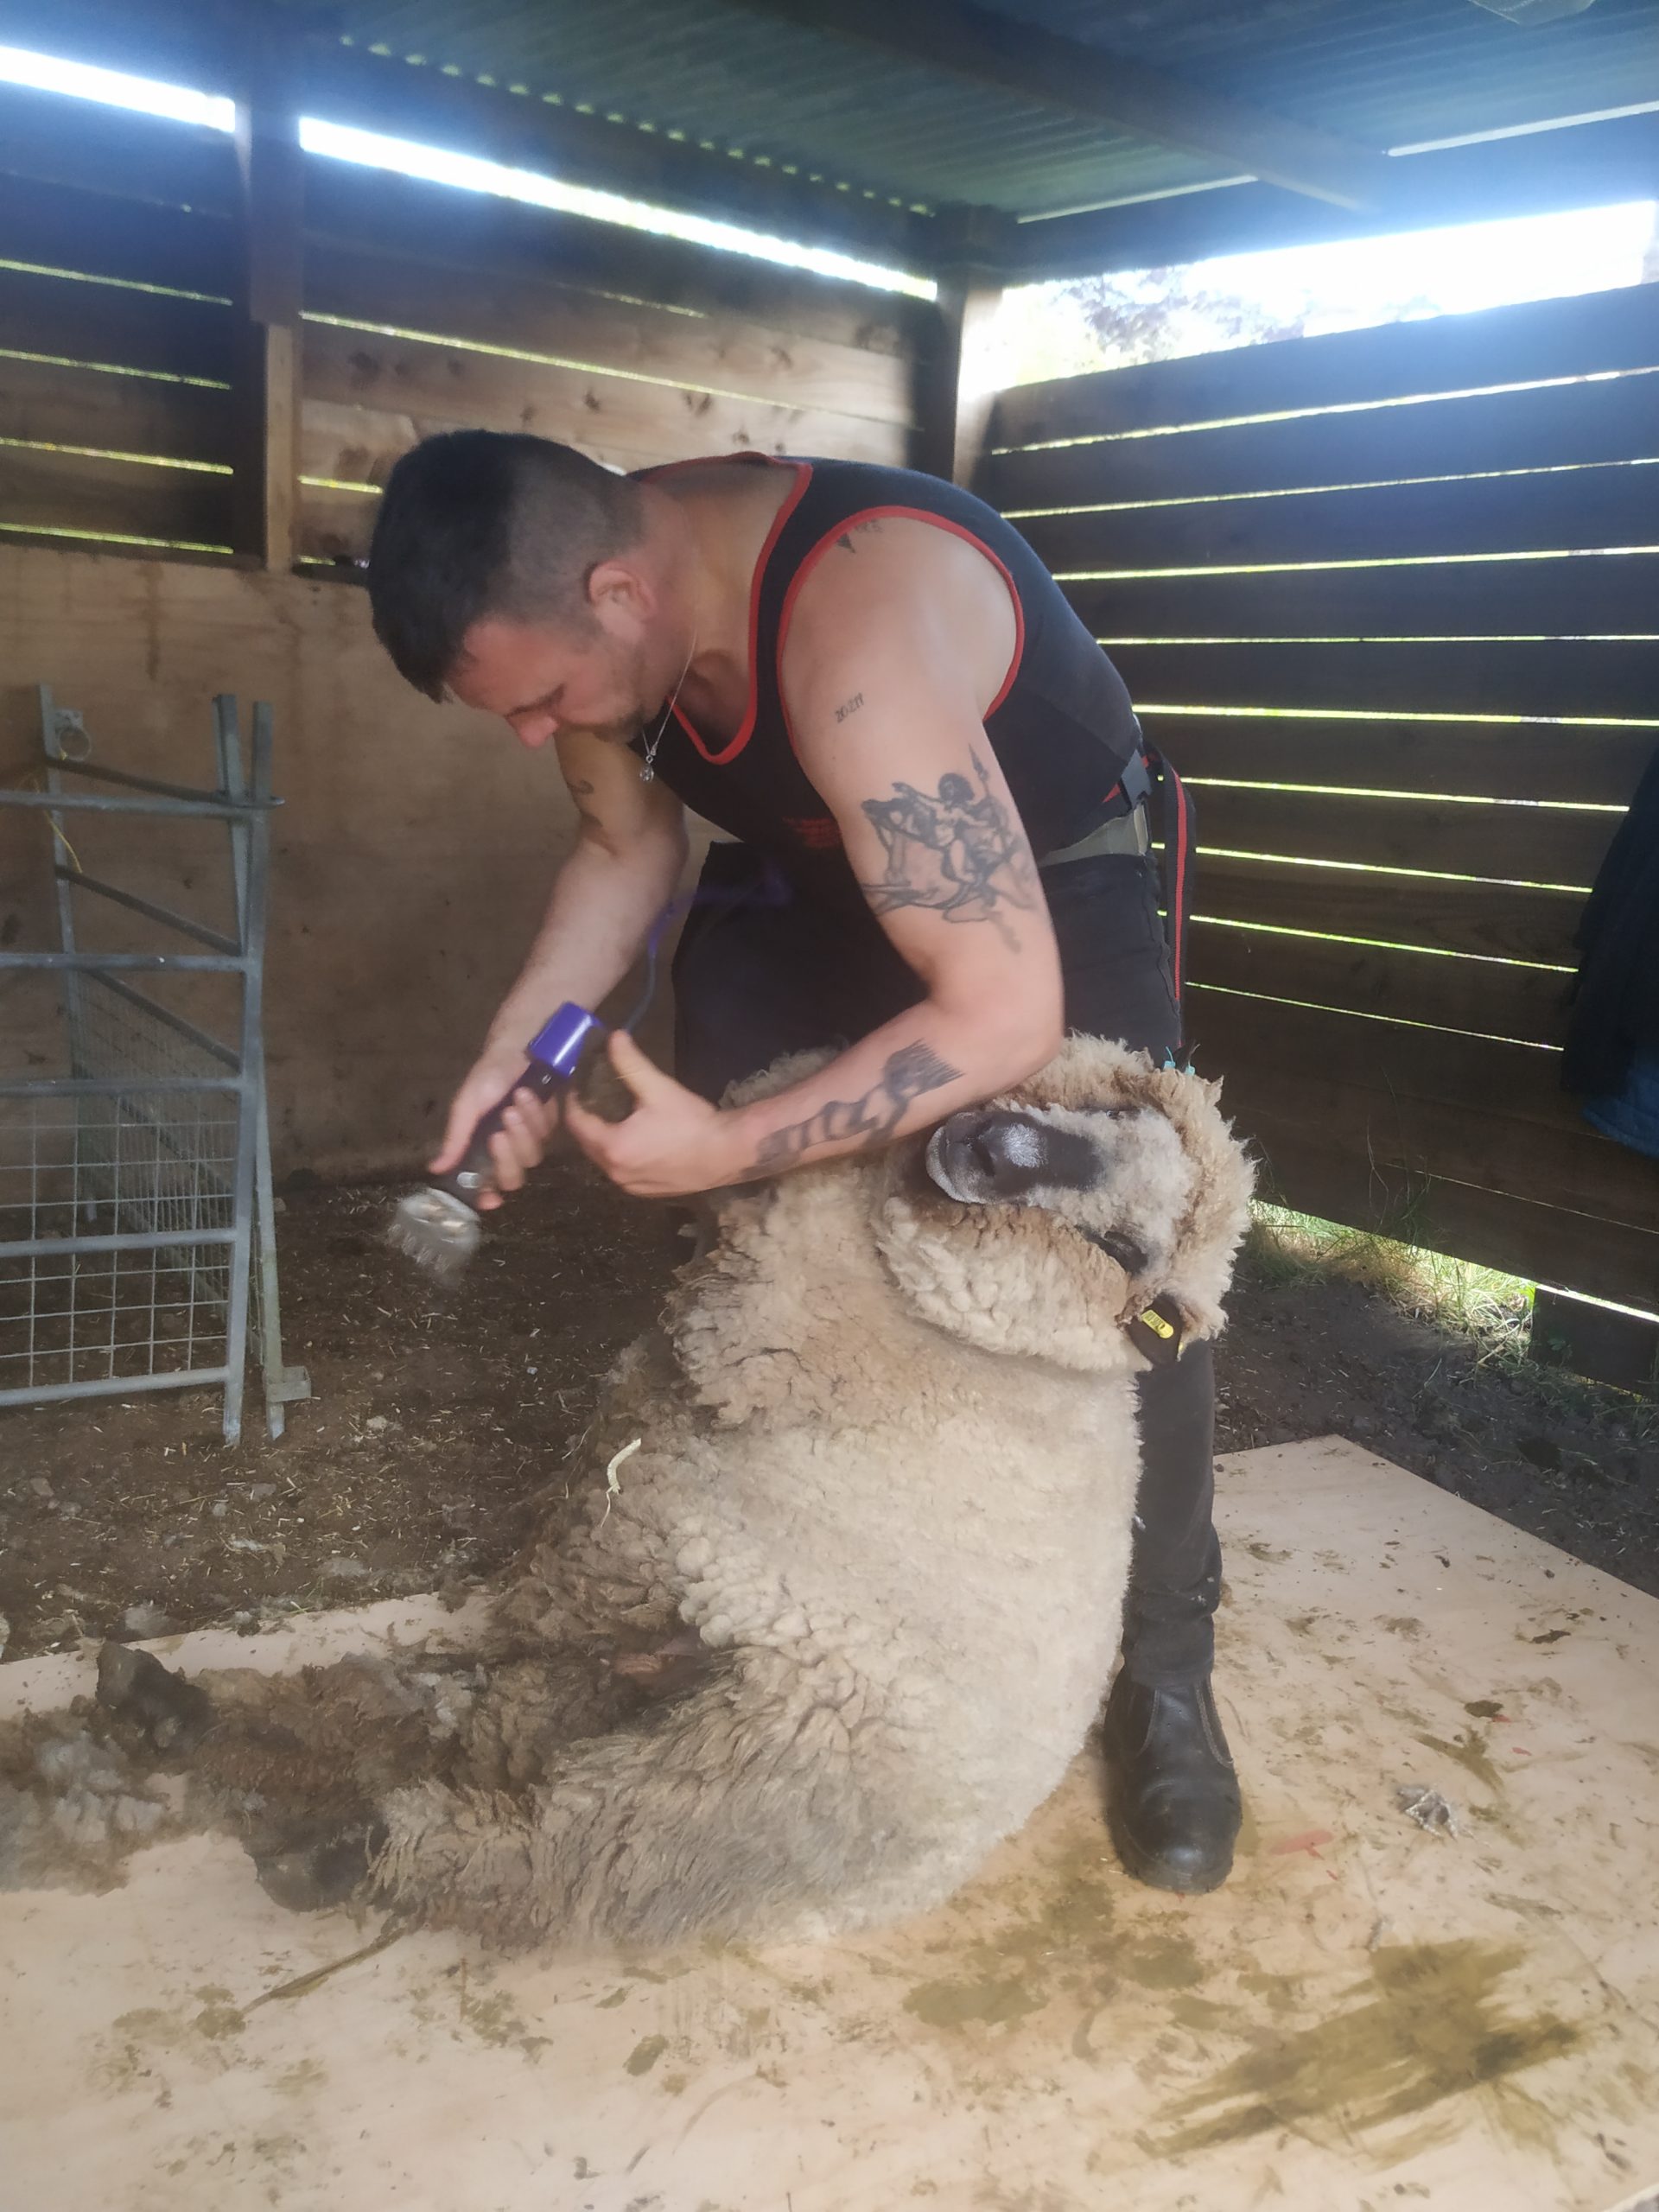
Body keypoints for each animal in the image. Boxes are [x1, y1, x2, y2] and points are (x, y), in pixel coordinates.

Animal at [0, 1037, 1253, 1950]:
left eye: (1125, 1246)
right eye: (1118, 1116)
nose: (997, 1144)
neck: (1004, 1350)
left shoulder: (777, 1322)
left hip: (725, 1795)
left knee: (544, 1861)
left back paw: (346, 1852)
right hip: (574, 1671)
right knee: (425, 1722)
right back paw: (165, 1708)